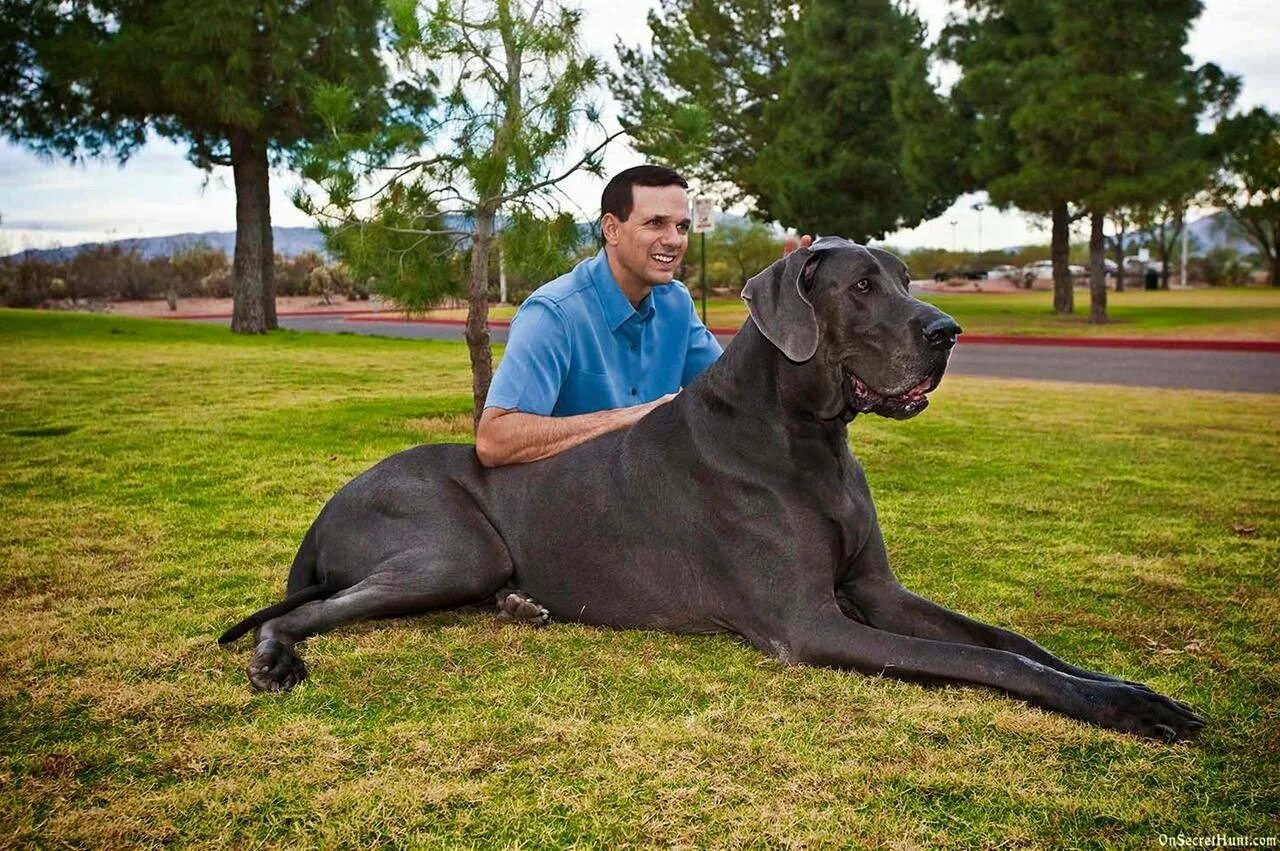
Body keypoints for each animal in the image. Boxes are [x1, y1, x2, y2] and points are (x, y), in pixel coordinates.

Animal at [222, 235, 1208, 742]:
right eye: (861, 287)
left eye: (906, 277)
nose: (949, 331)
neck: (809, 438)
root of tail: (325, 507)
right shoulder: (810, 622)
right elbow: (990, 663)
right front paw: (1119, 708)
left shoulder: (878, 590)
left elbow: (1015, 641)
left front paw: (1134, 690)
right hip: (455, 547)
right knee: (298, 611)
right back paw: (277, 658)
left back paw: (522, 607)